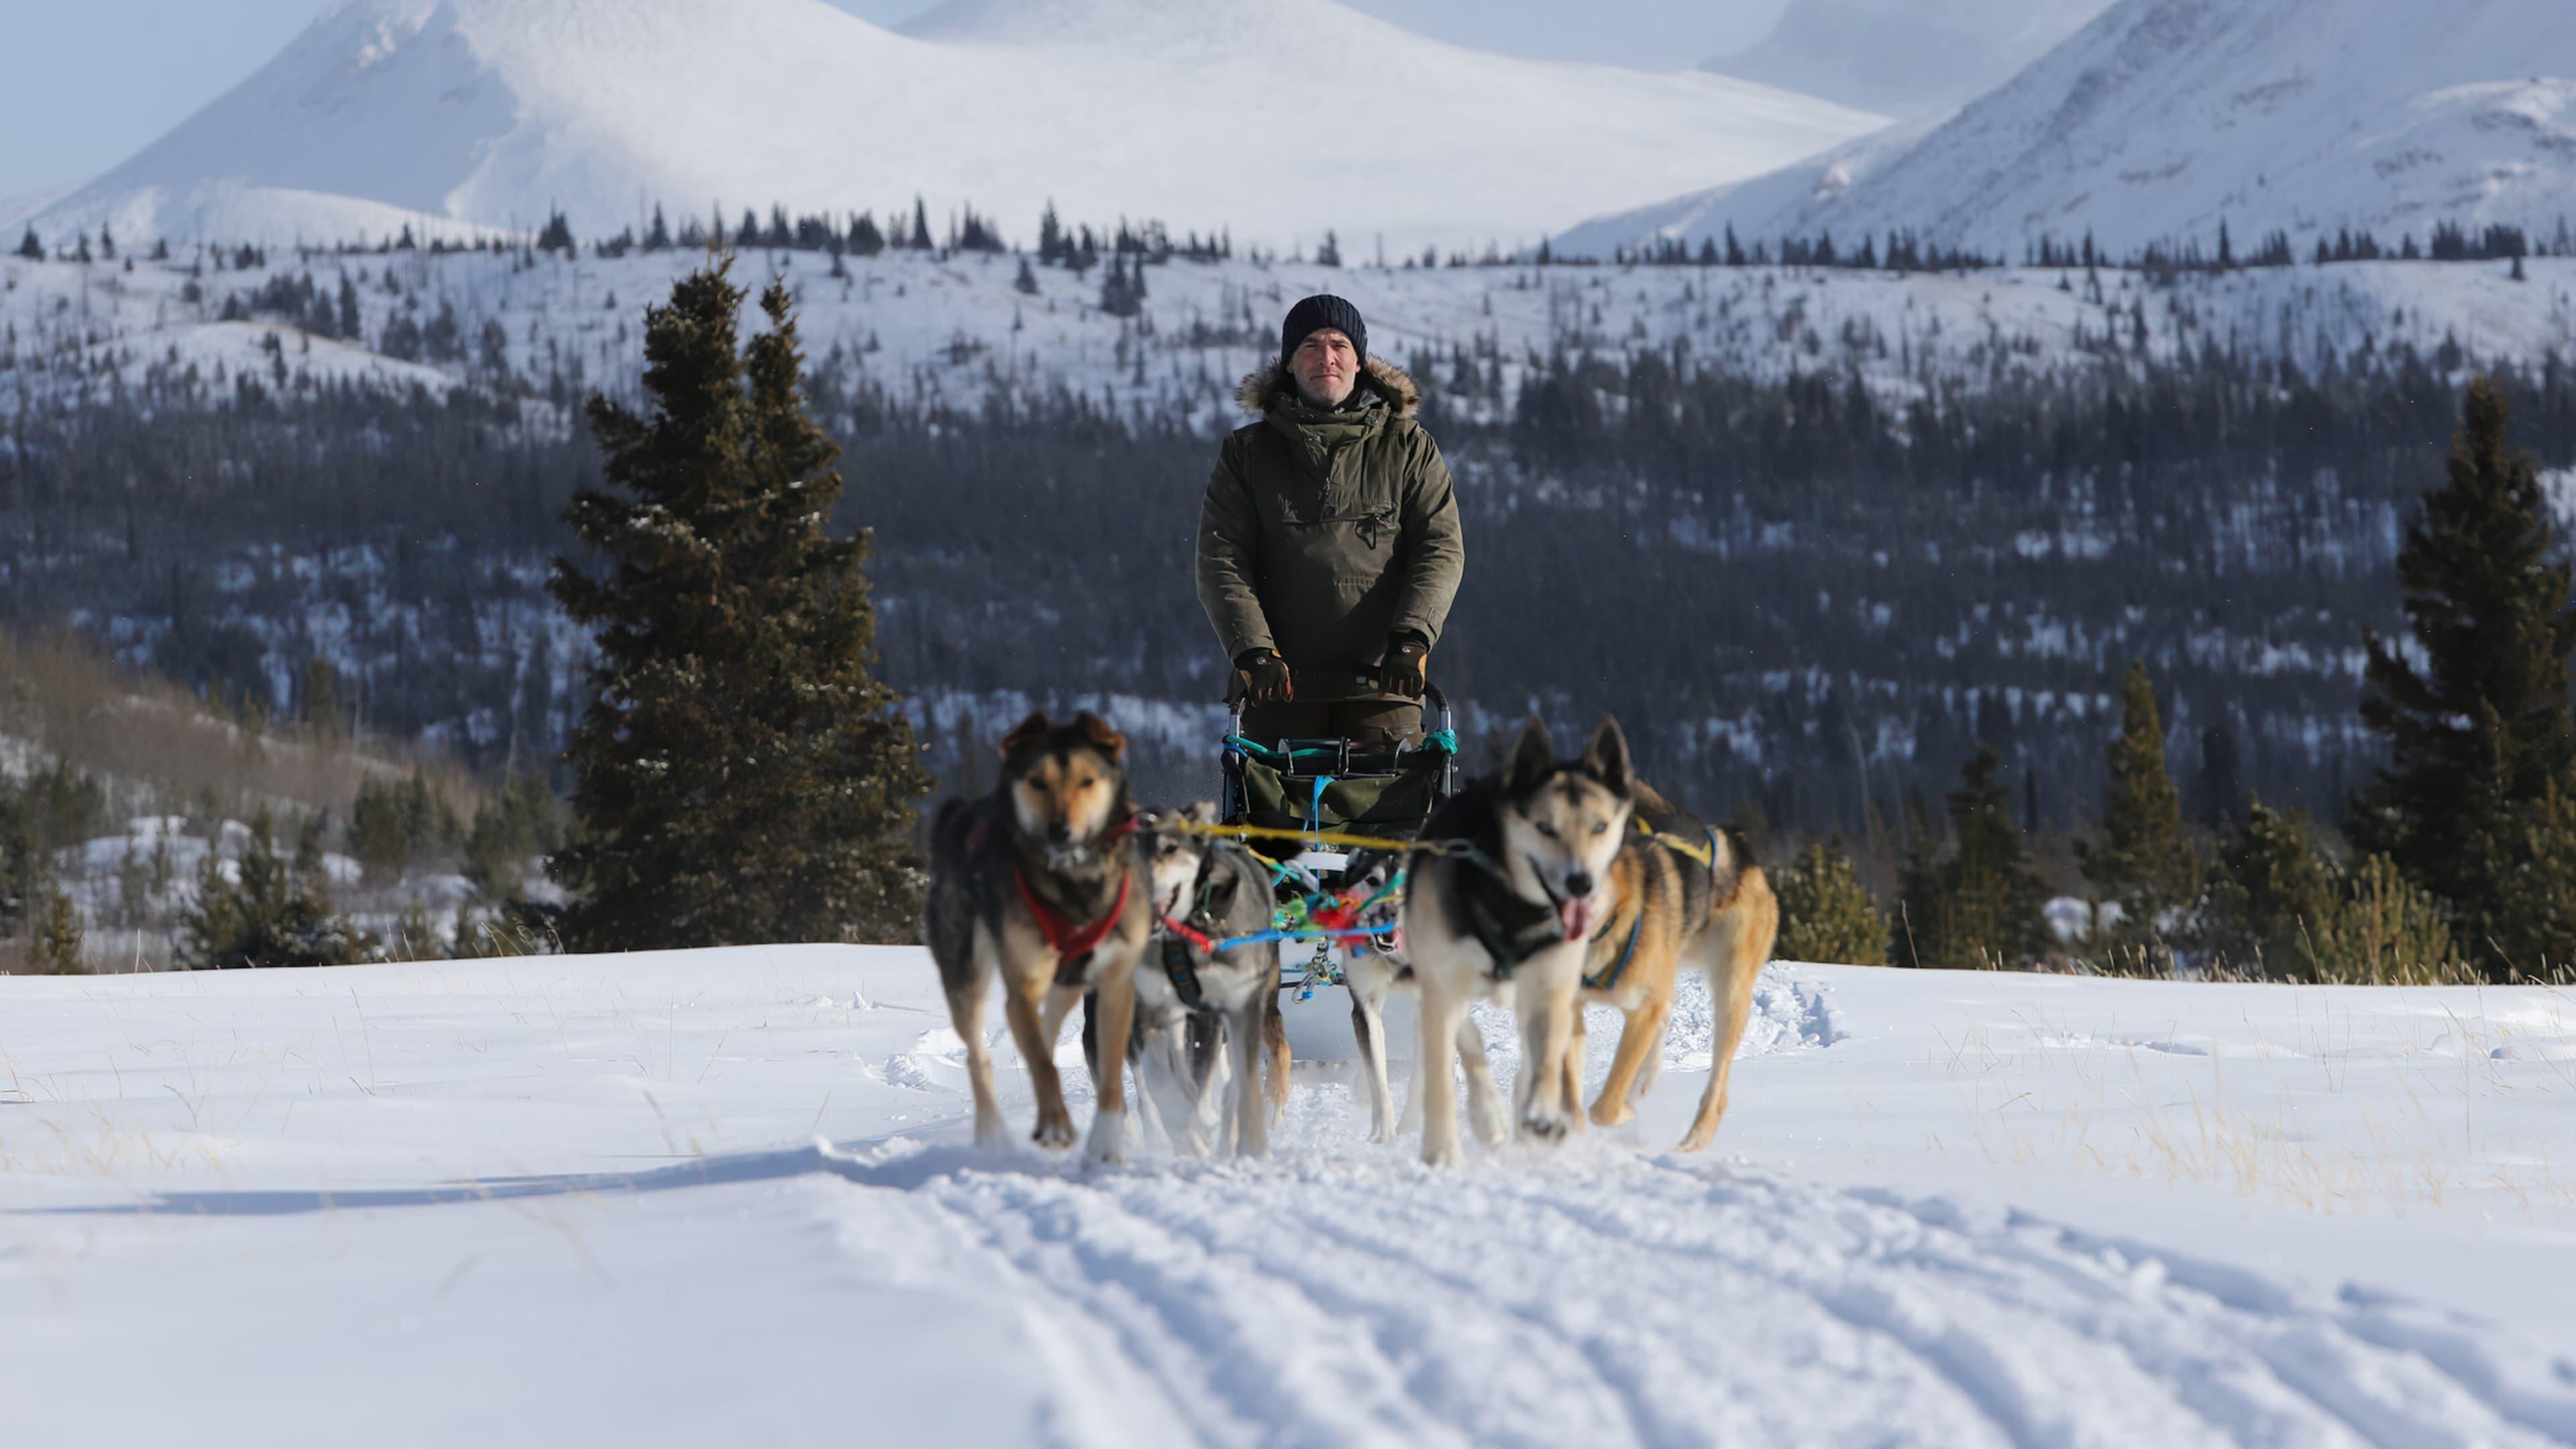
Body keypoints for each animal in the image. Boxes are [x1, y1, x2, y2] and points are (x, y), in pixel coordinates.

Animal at [912, 706, 1143, 1155]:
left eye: (1087, 781)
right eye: (1038, 782)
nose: (1060, 830)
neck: (1074, 886)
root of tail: (957, 812)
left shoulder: (1115, 984)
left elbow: (1109, 1078)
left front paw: (1106, 1144)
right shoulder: (1022, 980)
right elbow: (1041, 1064)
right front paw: (1054, 1125)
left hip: (1069, 983)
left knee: (1047, 1026)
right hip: (967, 972)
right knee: (982, 1054)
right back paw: (993, 1135)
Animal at [1401, 711, 1638, 1160]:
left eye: (1600, 827)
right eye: (1545, 828)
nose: (1580, 882)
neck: (1511, 906)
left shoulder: (1551, 987)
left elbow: (1546, 1061)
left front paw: (1542, 1116)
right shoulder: (1441, 985)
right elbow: (1447, 1070)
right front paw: (1442, 1153)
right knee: (1465, 1040)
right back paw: (1488, 1115)